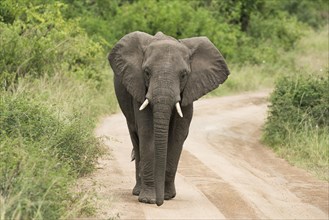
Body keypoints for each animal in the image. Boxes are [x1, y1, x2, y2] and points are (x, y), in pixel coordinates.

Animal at [107, 31, 228, 206]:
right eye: (147, 72)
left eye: (184, 75)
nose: (159, 203)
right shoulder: (139, 89)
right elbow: (147, 133)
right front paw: (148, 200)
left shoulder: (188, 93)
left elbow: (178, 135)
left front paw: (167, 196)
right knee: (135, 137)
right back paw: (137, 191)